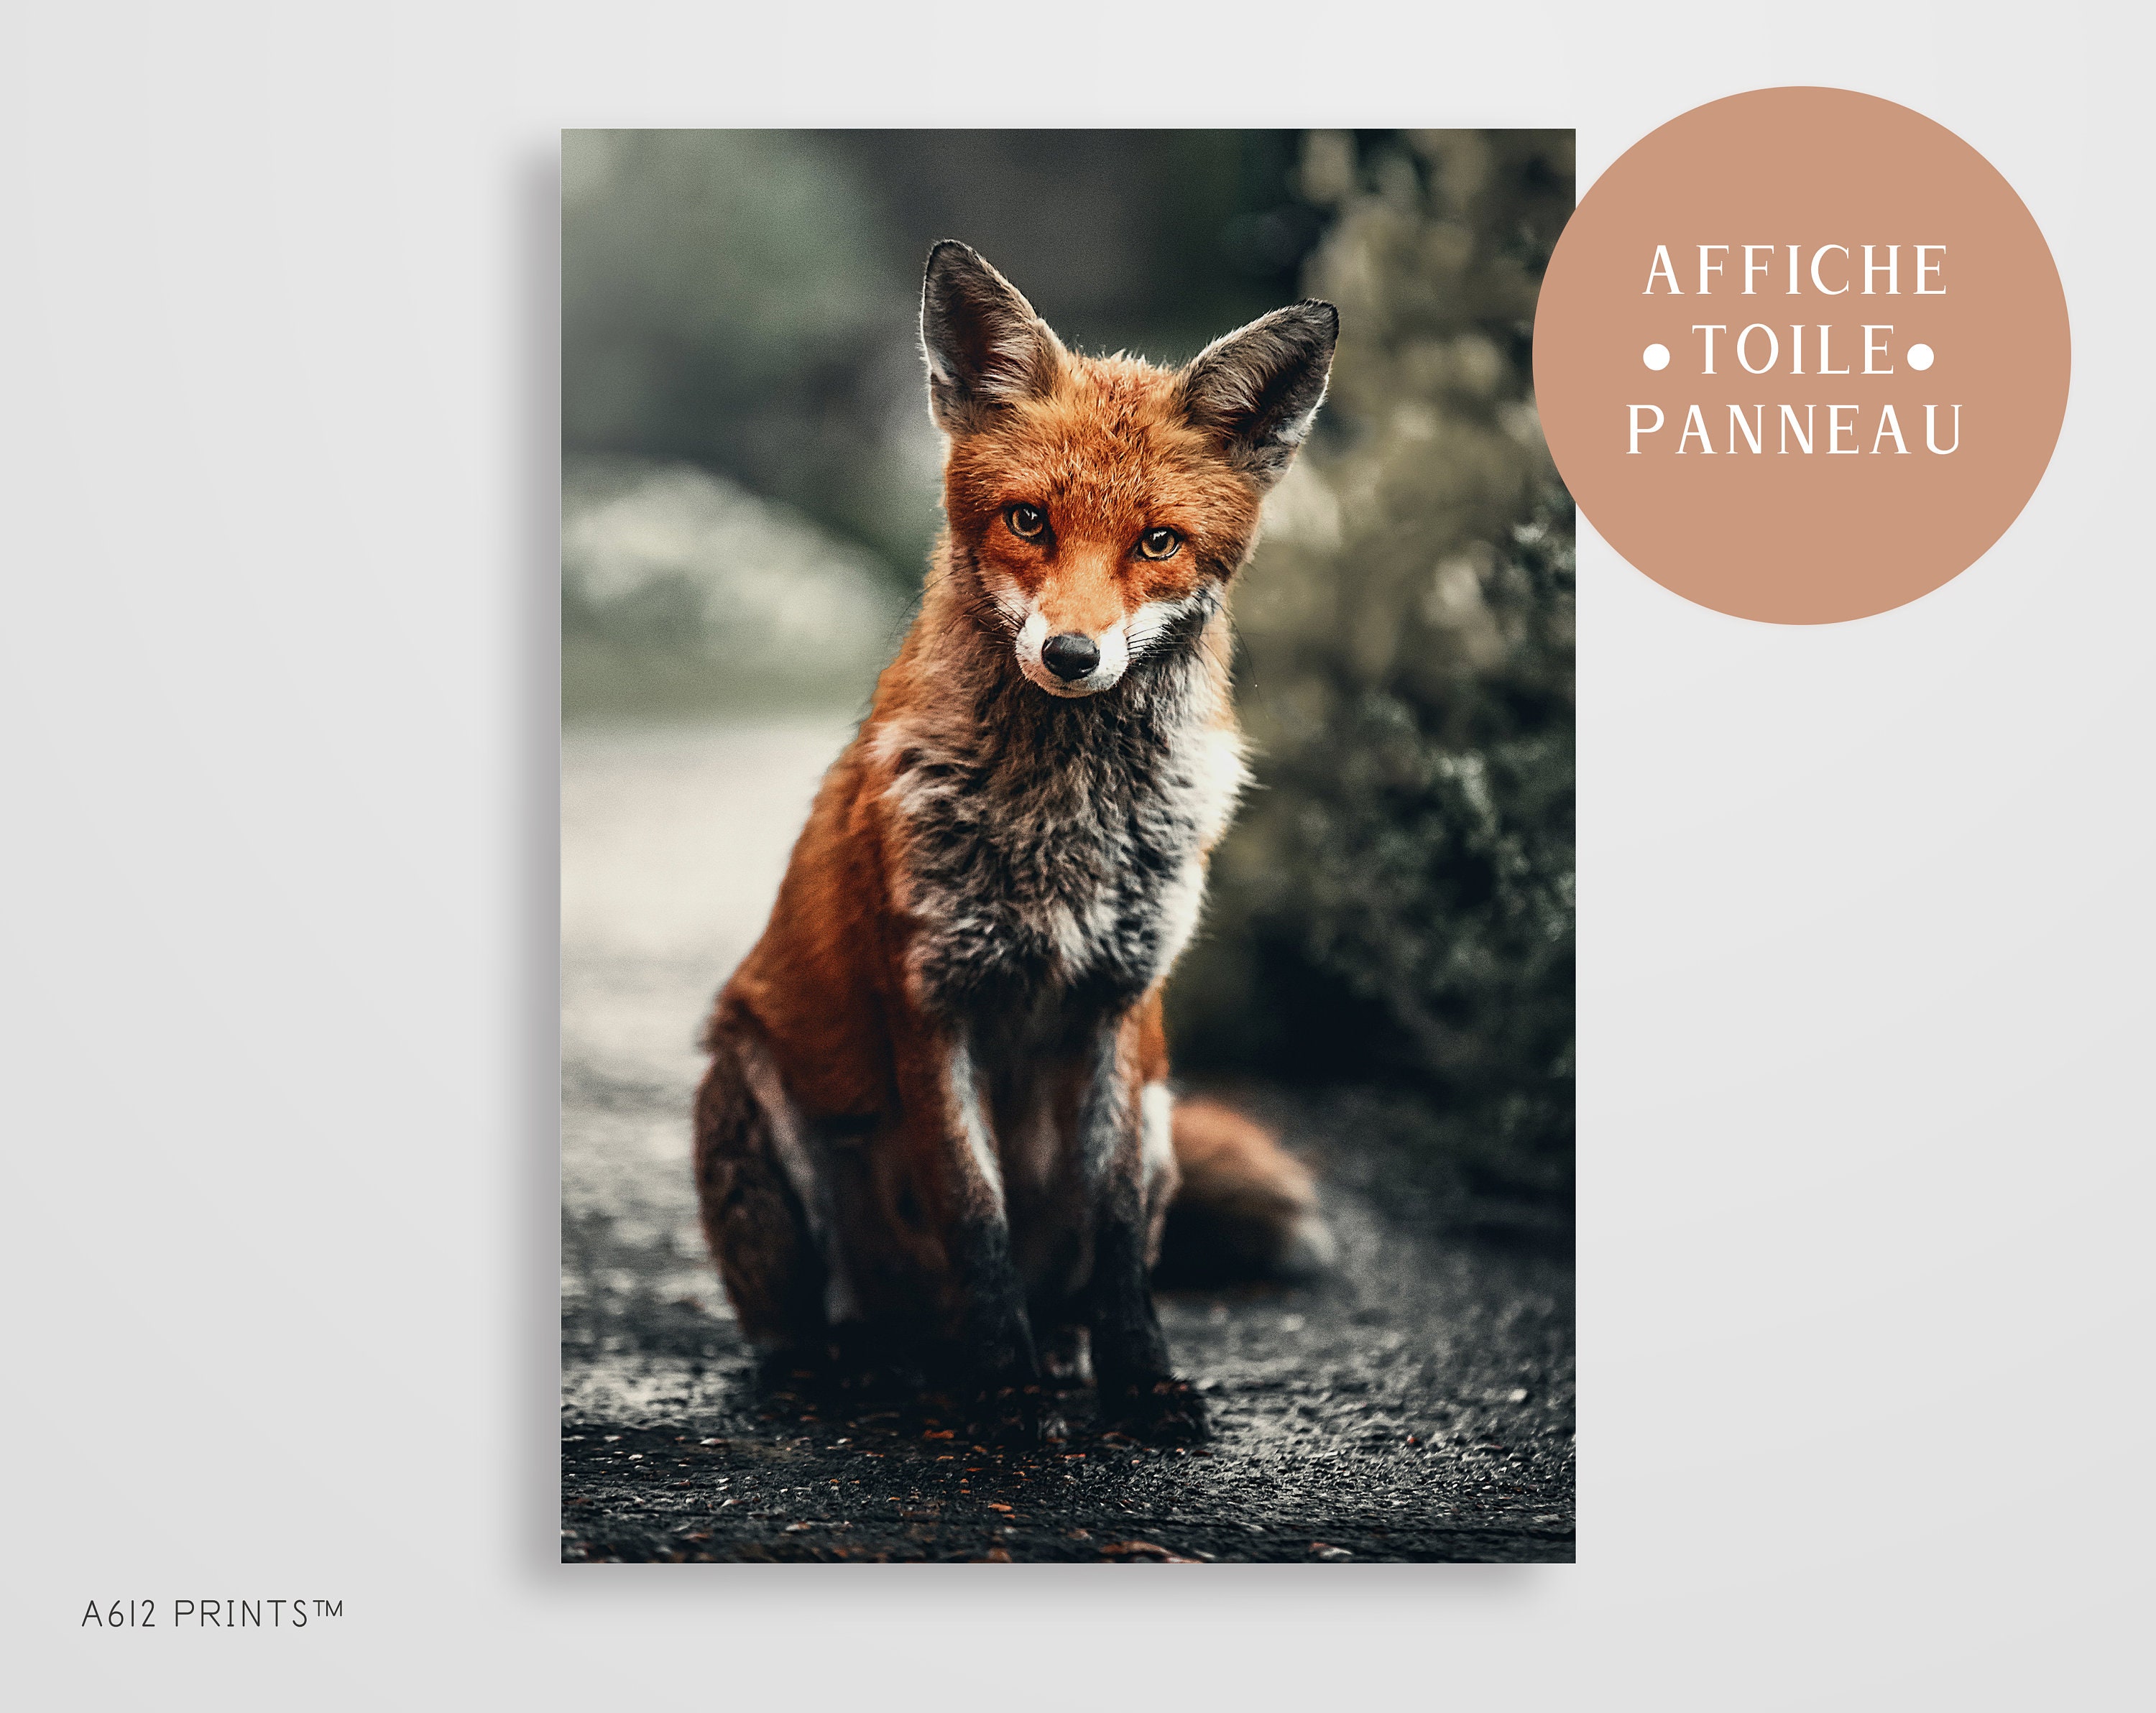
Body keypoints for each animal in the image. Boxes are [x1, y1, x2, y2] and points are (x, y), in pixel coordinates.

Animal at [693, 240, 1337, 1444]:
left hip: (1166, 1115)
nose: (1074, 655)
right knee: (813, 1327)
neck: (1063, 826)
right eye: (1029, 521)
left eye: (1158, 542)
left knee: (1075, 1278)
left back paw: (1057, 1354)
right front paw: (1005, 1393)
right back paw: (862, 1368)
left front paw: (1140, 1380)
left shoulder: (1123, 1008)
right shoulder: (931, 1002)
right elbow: (975, 1212)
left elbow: (1119, 1235)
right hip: (753, 1098)